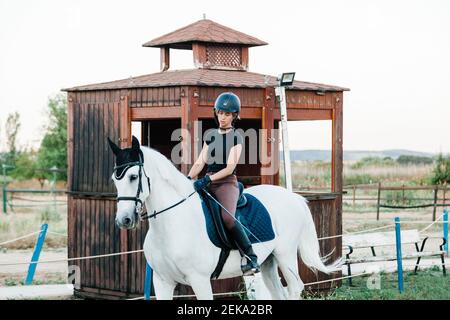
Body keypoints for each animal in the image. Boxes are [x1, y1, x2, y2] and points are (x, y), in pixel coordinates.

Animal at [109, 138, 340, 300]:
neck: (172, 226)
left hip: (286, 254)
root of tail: (294, 197)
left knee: (294, 288)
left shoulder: (200, 281)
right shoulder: (162, 281)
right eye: (115, 179)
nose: (123, 220)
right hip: (268, 261)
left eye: (133, 177)